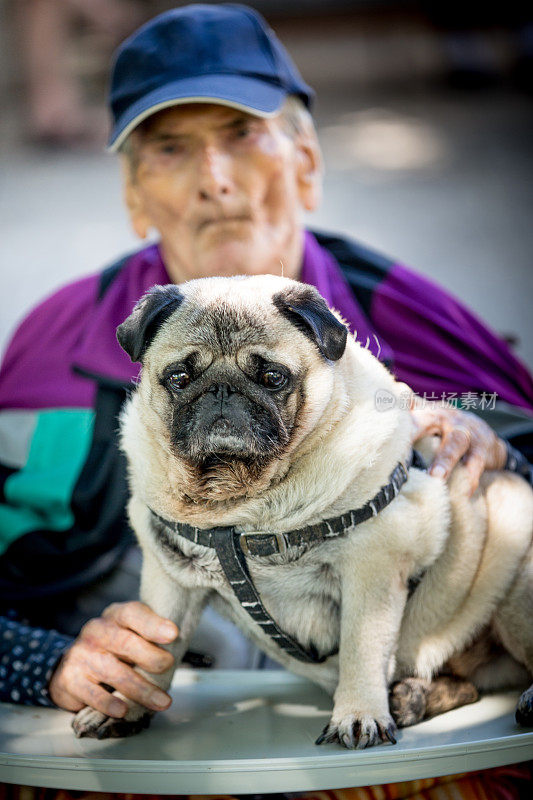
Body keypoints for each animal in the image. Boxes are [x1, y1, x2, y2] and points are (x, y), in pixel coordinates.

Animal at [71, 278, 532, 748]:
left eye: (273, 377)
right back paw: (410, 700)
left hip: (518, 590)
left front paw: (358, 715)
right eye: (179, 378)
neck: (240, 506)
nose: (221, 390)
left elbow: (361, 650)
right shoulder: (170, 586)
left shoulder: (372, 572)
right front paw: (124, 707)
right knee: (465, 685)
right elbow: (152, 658)